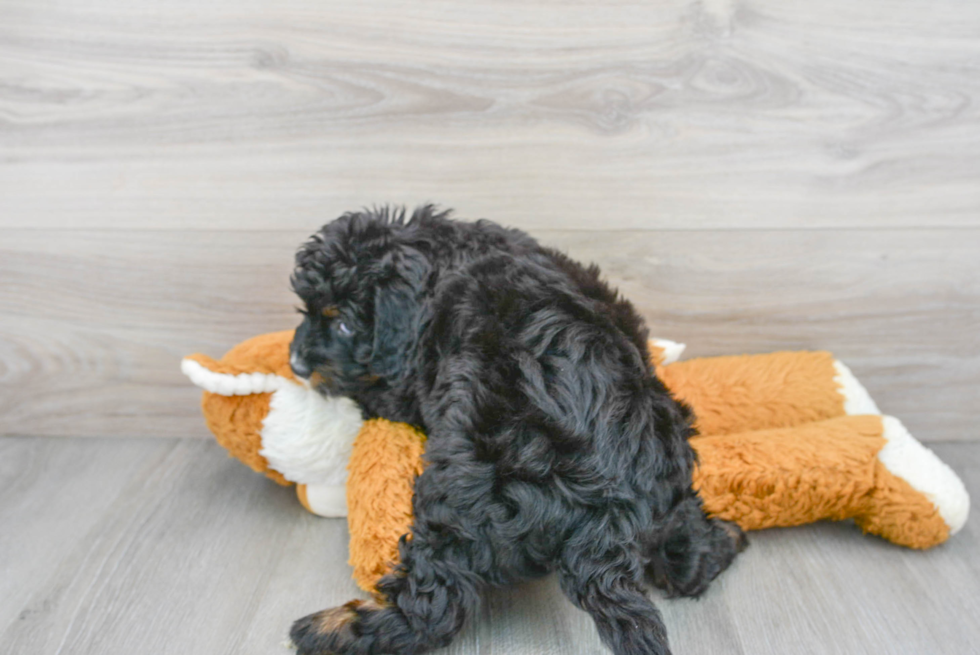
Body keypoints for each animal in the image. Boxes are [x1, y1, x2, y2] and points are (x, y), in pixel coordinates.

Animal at [288, 206, 748, 655]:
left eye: (343, 325)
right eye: (307, 310)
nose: (294, 363)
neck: (443, 259)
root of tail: (606, 508)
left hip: (456, 503)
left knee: (433, 606)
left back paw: (331, 628)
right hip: (671, 458)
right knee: (687, 552)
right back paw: (725, 539)